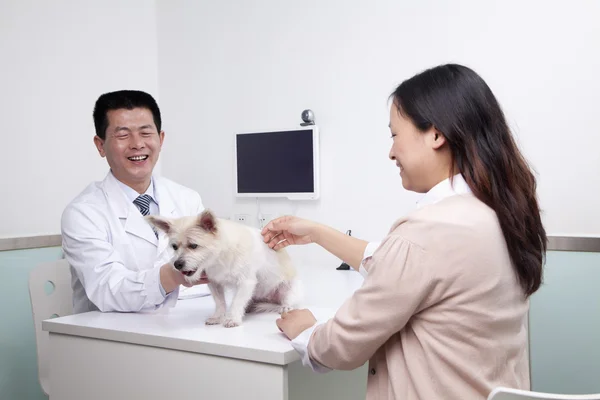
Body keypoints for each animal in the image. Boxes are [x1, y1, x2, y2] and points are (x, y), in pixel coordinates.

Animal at [148, 211, 302, 326]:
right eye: (174, 247)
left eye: (193, 246)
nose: (177, 264)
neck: (219, 259)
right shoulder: (214, 283)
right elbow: (220, 302)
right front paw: (218, 317)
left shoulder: (246, 282)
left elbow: (237, 301)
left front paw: (232, 318)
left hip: (288, 288)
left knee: (287, 299)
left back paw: (285, 307)